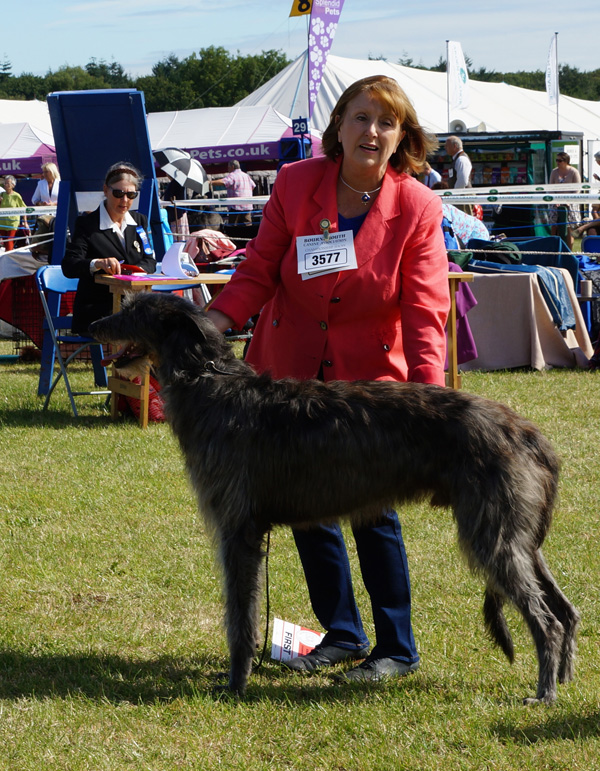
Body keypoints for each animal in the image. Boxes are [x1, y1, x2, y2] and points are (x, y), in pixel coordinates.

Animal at [90, 292, 580, 704]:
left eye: (134, 311)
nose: (93, 324)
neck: (211, 385)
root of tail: (529, 433)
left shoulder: (238, 531)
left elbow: (240, 616)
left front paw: (235, 683)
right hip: (519, 533)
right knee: (565, 608)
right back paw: (565, 677)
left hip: (491, 531)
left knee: (547, 620)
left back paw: (544, 694)